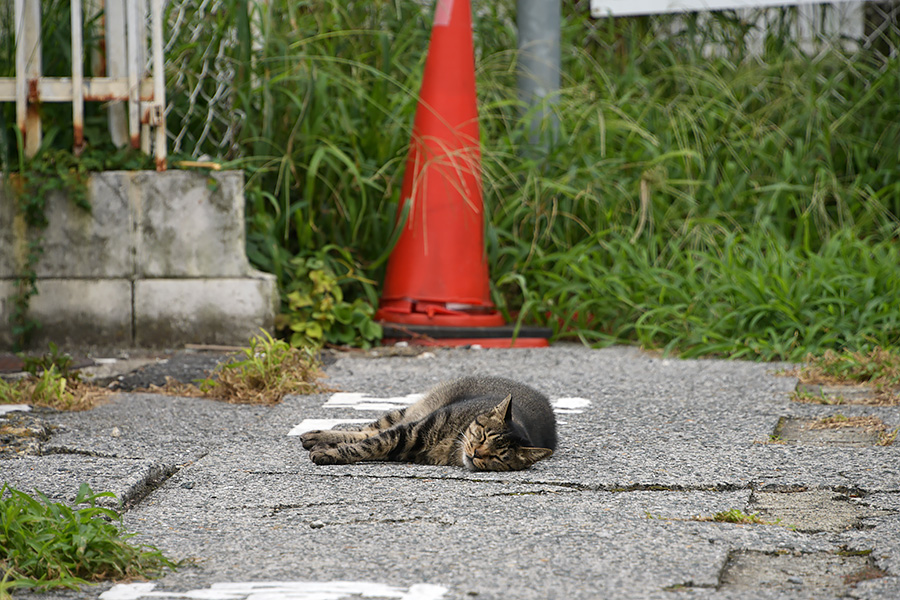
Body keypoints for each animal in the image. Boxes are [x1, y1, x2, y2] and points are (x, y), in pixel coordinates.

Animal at [300, 378, 556, 472]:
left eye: (498, 457)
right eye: (483, 436)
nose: (476, 454)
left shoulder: (403, 446)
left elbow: (367, 446)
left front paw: (329, 452)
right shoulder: (410, 431)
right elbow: (368, 444)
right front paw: (329, 452)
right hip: (410, 413)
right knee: (369, 430)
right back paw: (314, 435)